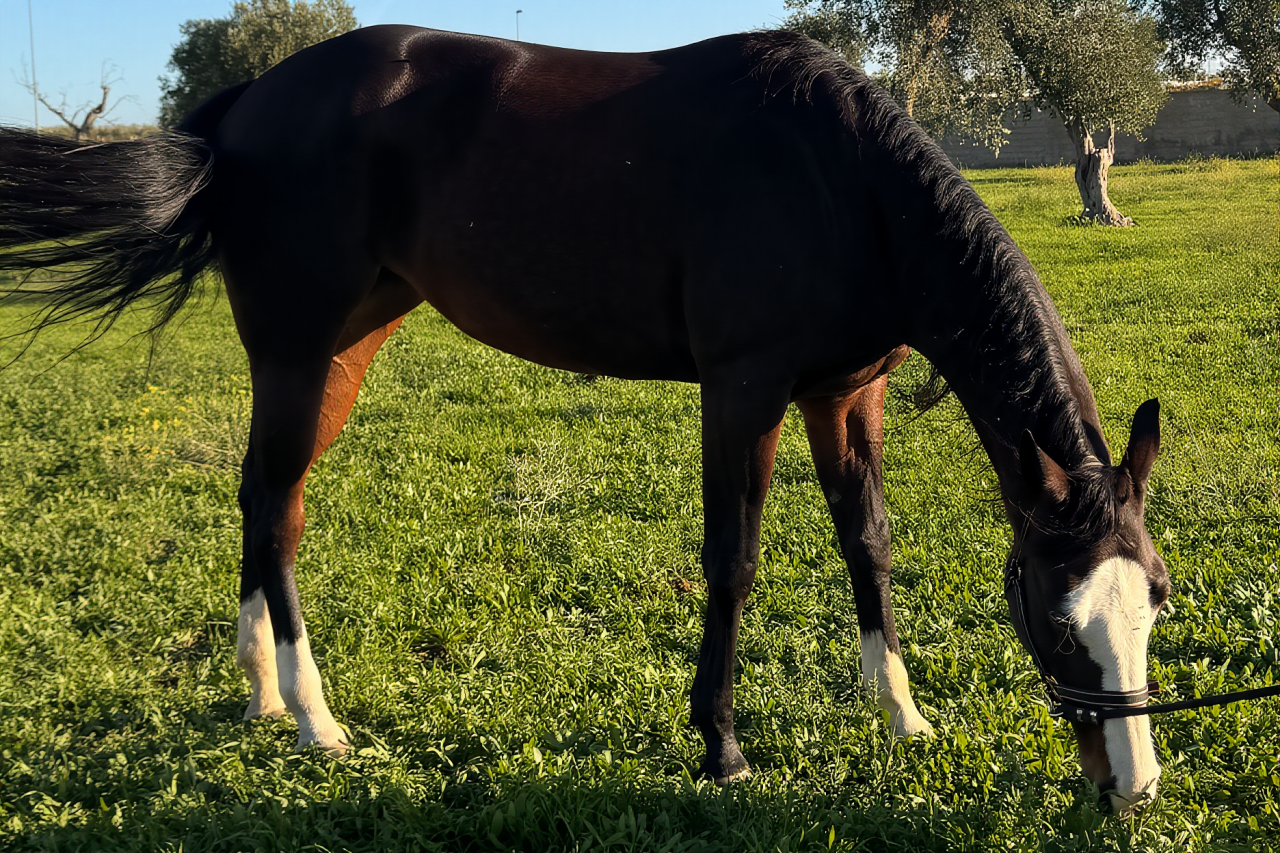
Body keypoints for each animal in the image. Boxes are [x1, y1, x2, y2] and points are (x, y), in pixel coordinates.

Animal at [0, 27, 1170, 813]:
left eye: (1153, 600)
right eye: (1057, 618)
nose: (1134, 784)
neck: (839, 177)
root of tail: (248, 102)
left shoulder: (845, 392)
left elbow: (868, 546)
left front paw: (903, 714)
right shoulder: (742, 390)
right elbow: (733, 561)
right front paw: (720, 747)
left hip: (342, 347)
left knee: (261, 499)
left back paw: (262, 696)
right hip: (300, 352)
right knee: (279, 510)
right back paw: (316, 718)